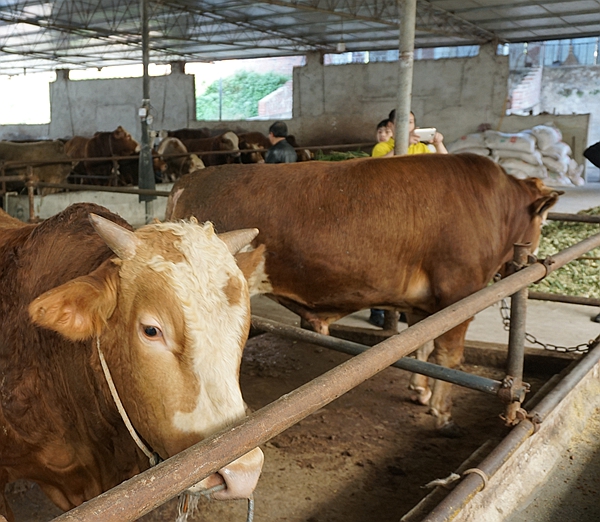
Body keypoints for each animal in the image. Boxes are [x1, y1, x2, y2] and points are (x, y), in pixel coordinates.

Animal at [165, 153, 564, 434]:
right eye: (543, 220)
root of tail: (192, 179)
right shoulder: (460, 291)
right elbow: (449, 356)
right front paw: (443, 414)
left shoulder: (426, 304)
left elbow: (422, 344)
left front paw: (419, 390)